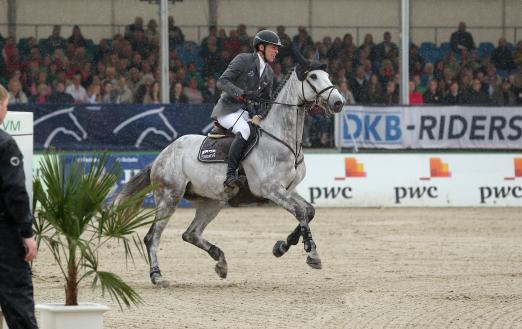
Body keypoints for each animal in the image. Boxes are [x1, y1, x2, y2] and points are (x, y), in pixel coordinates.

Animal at [114, 55, 344, 286]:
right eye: (313, 77)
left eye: (328, 75)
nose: (338, 102)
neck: (283, 139)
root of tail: (161, 155)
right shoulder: (271, 190)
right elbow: (300, 213)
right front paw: (312, 254)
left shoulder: (289, 189)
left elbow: (309, 211)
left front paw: (282, 246)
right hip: (169, 196)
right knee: (153, 236)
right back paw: (157, 275)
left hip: (213, 201)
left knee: (191, 234)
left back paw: (221, 262)